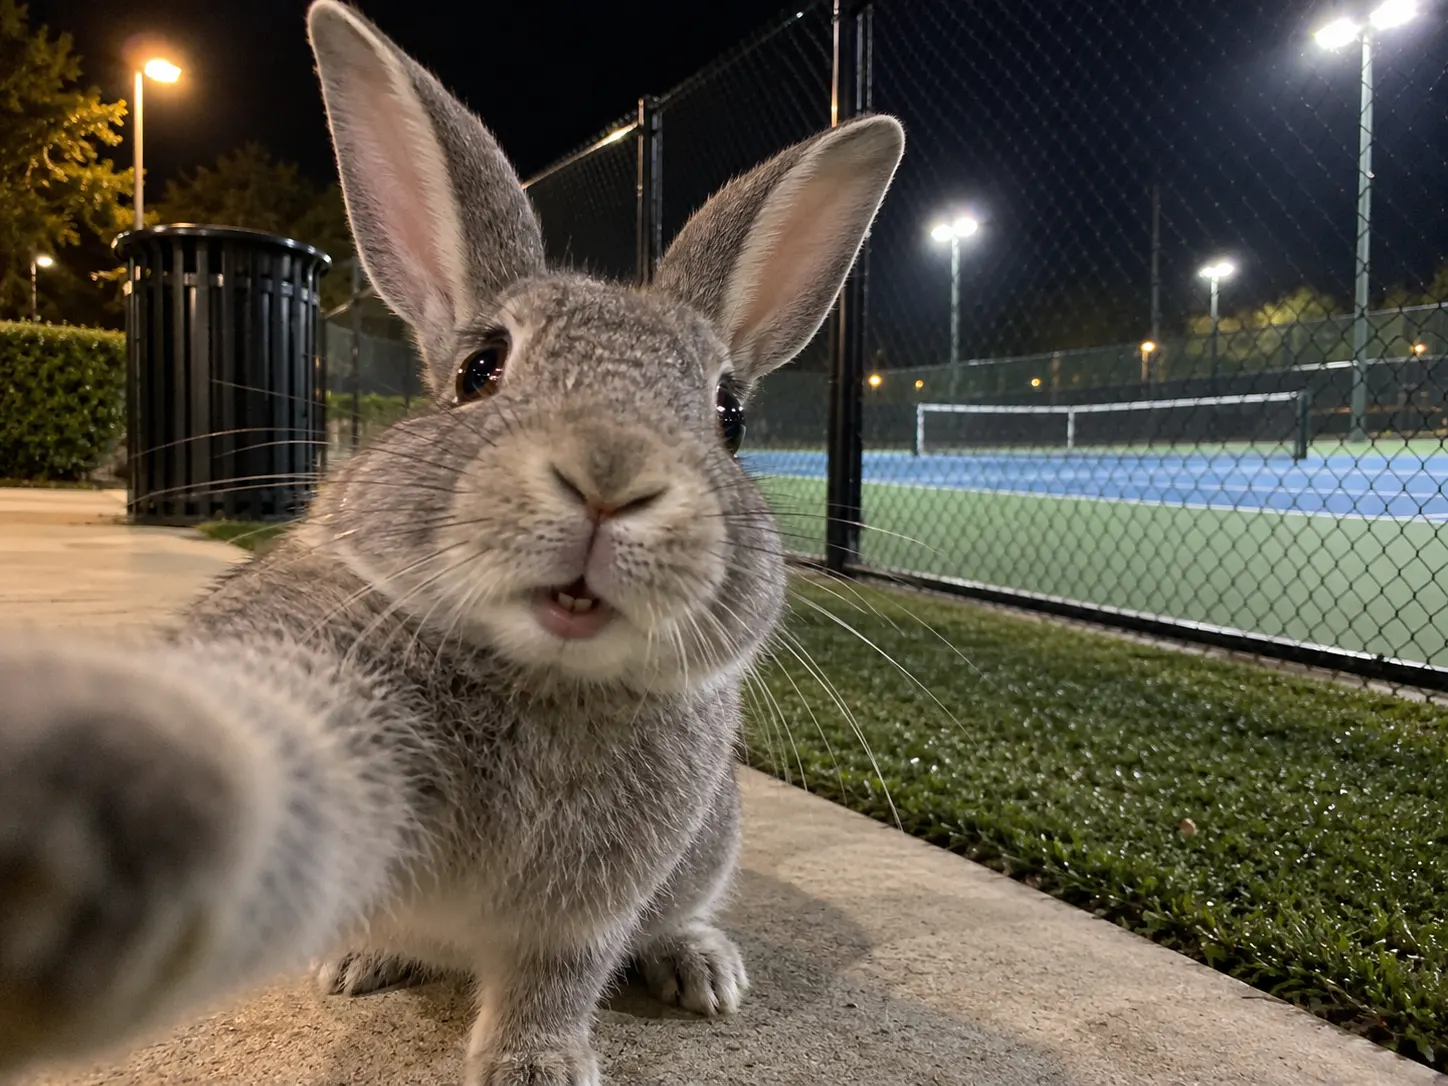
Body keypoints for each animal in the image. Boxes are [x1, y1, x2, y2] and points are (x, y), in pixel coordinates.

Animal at [0, 3, 903, 1084]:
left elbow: (555, 979)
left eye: (729, 416)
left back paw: (699, 966)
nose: (609, 476)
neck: (545, 673)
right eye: (481, 368)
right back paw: (361, 961)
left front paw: (536, 1068)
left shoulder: (581, 916)